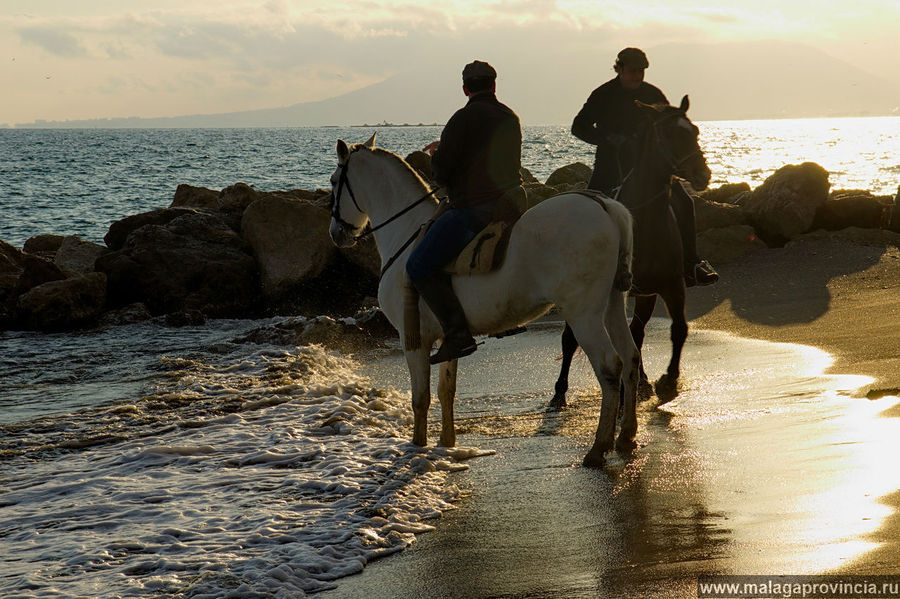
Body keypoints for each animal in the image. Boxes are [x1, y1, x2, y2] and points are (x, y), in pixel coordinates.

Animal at [330, 135, 640, 468]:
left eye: (334, 181)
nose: (336, 234)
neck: (406, 233)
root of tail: (605, 206)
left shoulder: (413, 339)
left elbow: (421, 398)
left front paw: (418, 446)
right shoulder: (449, 336)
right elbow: (446, 391)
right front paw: (447, 443)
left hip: (583, 313)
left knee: (610, 365)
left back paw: (598, 447)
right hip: (612, 303)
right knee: (631, 357)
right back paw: (626, 435)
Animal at [548, 96, 712, 408]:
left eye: (695, 131)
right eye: (670, 135)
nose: (703, 174)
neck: (644, 224)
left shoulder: (671, 286)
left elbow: (679, 328)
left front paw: (669, 379)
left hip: (646, 295)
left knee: (637, 332)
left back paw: (643, 380)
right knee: (570, 338)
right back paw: (560, 391)